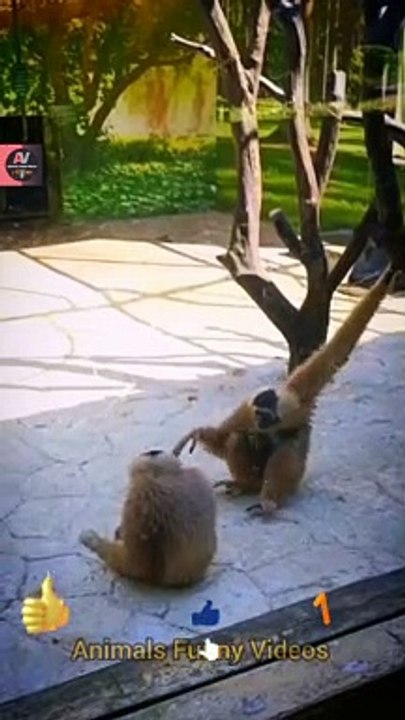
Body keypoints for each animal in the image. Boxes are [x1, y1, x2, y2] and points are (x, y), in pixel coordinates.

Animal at [173, 265, 397, 515]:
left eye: (266, 414)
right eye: (259, 414)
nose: (261, 421)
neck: (279, 409)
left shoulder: (299, 392)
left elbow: (335, 352)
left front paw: (387, 277)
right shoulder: (246, 410)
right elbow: (224, 438)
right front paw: (197, 434)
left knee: (288, 444)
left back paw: (267, 498)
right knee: (238, 437)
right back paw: (244, 485)